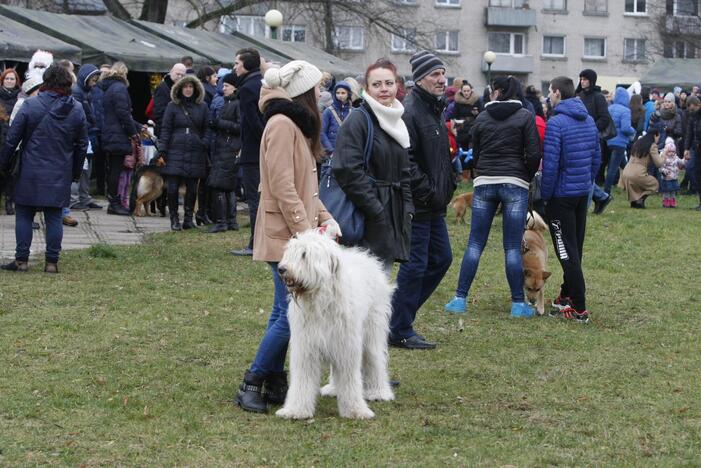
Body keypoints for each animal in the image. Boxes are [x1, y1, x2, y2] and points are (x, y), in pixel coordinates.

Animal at [274, 231, 394, 420]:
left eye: (304, 254)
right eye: (290, 252)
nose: (282, 269)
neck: (320, 301)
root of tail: (365, 256)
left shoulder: (347, 347)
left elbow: (350, 379)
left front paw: (355, 410)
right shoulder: (306, 348)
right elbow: (302, 380)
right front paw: (296, 410)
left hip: (372, 330)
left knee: (374, 359)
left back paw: (379, 392)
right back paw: (334, 388)